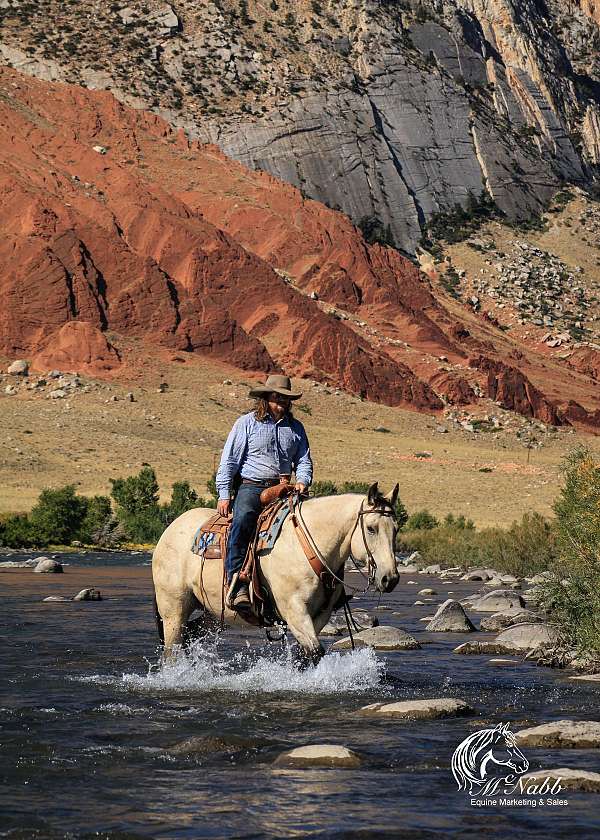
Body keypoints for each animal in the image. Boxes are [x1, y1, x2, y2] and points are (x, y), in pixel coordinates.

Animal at [152, 482, 400, 668]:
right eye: (371, 528)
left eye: (396, 529)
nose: (390, 578)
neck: (308, 546)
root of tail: (170, 529)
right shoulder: (294, 610)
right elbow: (315, 652)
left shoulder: (321, 614)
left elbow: (305, 656)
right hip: (173, 610)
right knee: (172, 649)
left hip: (211, 613)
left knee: (190, 635)